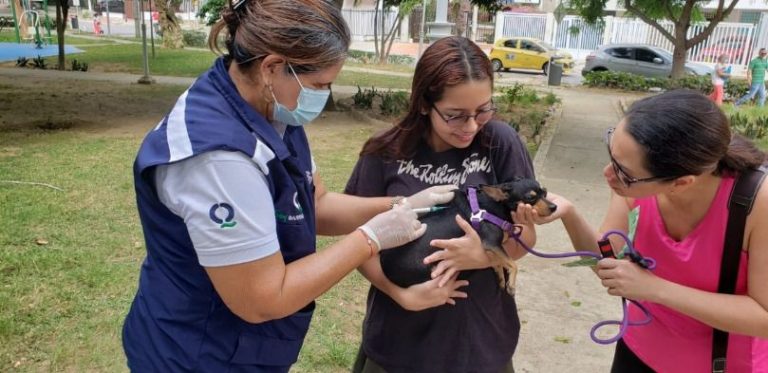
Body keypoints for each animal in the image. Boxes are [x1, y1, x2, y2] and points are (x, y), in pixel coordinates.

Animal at [380, 177, 556, 294]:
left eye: (545, 192)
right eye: (531, 198)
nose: (554, 207)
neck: (497, 205)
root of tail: (385, 269)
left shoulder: (491, 248)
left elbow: (498, 262)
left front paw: (501, 277)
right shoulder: (492, 243)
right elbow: (513, 264)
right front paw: (511, 285)